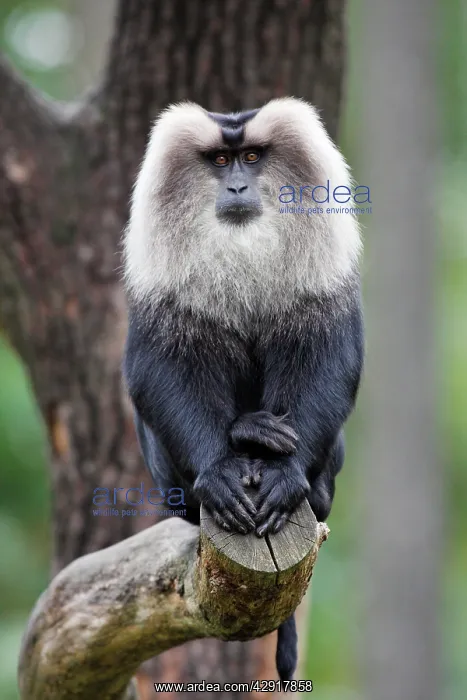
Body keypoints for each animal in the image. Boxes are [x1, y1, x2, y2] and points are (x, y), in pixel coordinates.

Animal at [122, 98, 364, 683]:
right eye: (219, 160)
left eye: (251, 158)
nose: (235, 186)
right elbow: (156, 369)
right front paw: (220, 473)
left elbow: (331, 357)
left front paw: (285, 476)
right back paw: (246, 435)